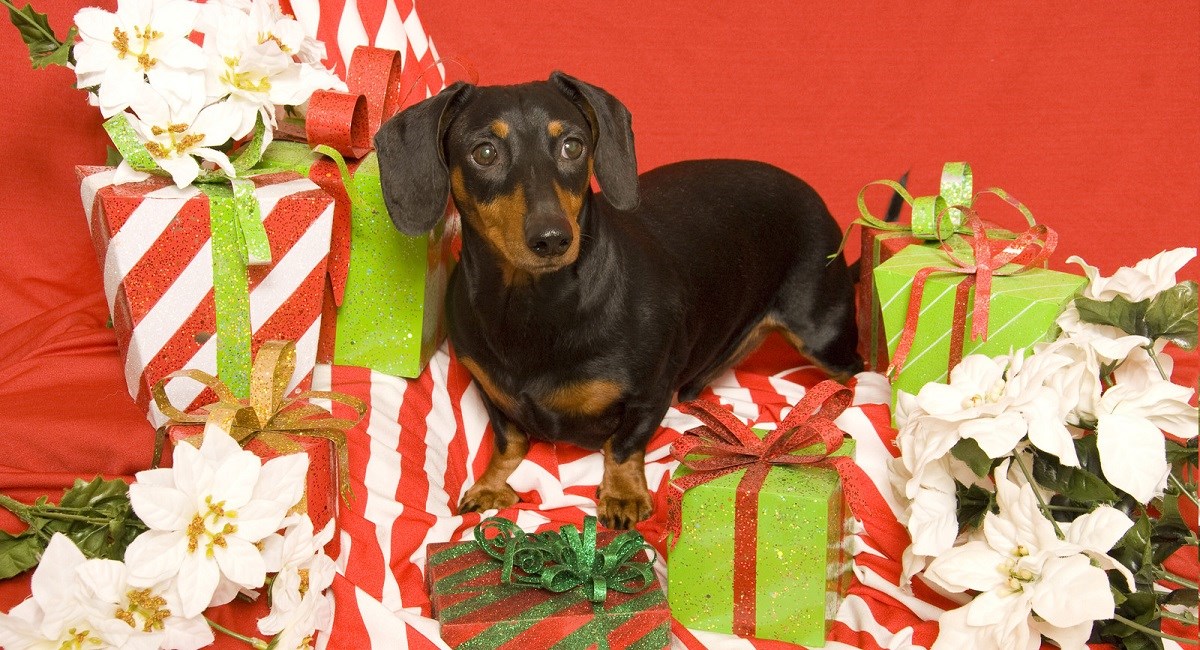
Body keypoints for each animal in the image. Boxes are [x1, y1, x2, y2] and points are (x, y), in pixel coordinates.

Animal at [376, 73, 864, 532]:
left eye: (572, 145)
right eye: (484, 152)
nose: (552, 239)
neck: (532, 306)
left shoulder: (651, 391)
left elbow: (624, 444)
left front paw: (623, 494)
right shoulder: (489, 390)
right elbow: (509, 439)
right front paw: (492, 485)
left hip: (823, 334)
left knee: (856, 372)